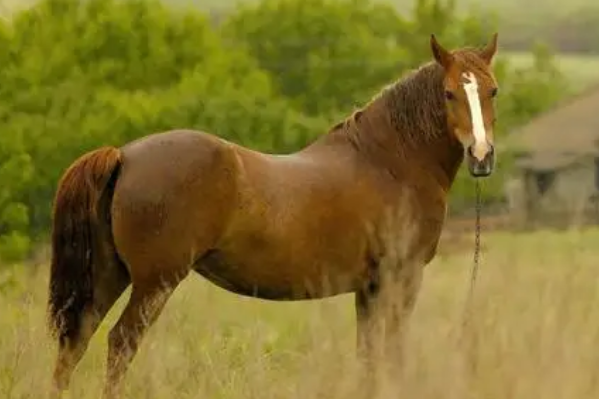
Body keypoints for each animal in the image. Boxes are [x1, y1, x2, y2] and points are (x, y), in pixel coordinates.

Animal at [45, 33, 496, 396]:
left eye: (492, 91)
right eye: (449, 93)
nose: (482, 156)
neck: (389, 161)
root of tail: (124, 155)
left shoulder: (369, 288)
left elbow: (368, 355)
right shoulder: (401, 278)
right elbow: (393, 352)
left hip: (110, 274)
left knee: (75, 342)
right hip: (154, 283)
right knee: (120, 343)